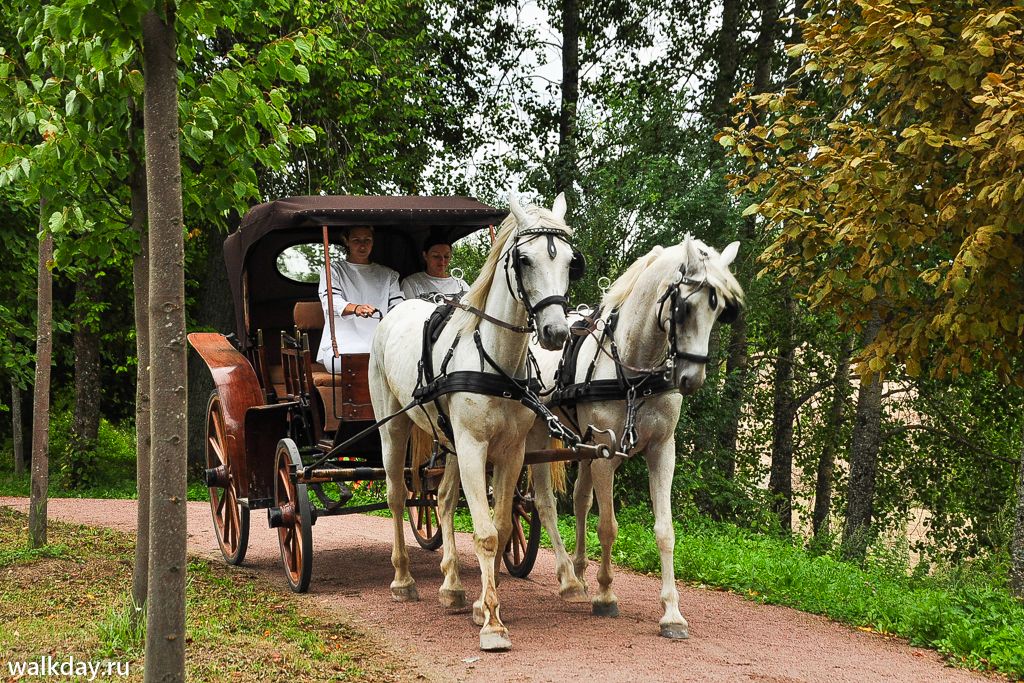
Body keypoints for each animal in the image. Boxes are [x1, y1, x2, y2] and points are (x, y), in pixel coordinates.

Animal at [368, 192, 578, 651]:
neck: (495, 360)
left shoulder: (510, 453)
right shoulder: (472, 447)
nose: (556, 332)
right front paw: (493, 625)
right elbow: (484, 534)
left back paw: (452, 587)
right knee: (397, 497)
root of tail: (397, 311)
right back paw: (403, 579)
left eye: (571, 261)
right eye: (524, 259)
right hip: (393, 427)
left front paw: (485, 605)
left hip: (448, 442)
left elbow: (500, 527)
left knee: (443, 500)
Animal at [526, 235, 744, 639]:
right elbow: (608, 526)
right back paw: (568, 578)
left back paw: (579, 571)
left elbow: (665, 531)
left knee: (579, 500)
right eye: (684, 306)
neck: (633, 371)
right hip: (534, 434)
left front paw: (672, 613)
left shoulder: (661, 450)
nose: (690, 379)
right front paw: (606, 595)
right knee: (545, 502)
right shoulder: (607, 453)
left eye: (721, 308)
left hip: (583, 444)